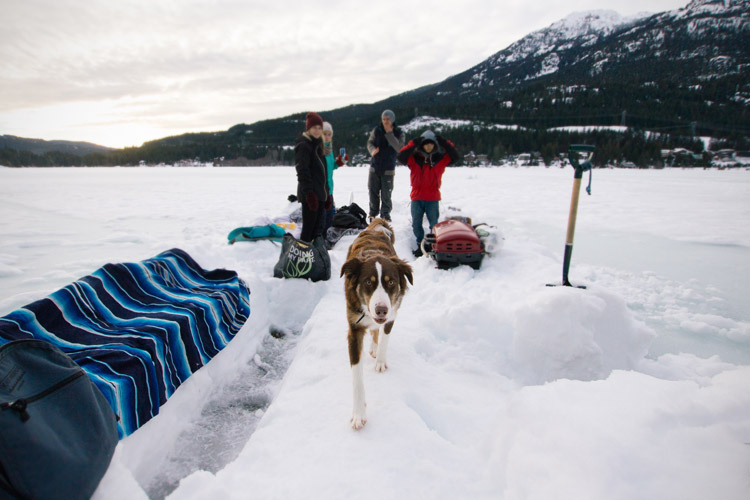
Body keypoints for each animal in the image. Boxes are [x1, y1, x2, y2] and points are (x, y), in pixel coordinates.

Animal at [342, 217, 414, 428]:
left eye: (391, 282)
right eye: (368, 282)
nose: (381, 310)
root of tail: (377, 223)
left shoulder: (392, 313)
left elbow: (384, 338)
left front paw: (380, 360)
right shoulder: (354, 329)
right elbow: (357, 377)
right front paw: (359, 413)